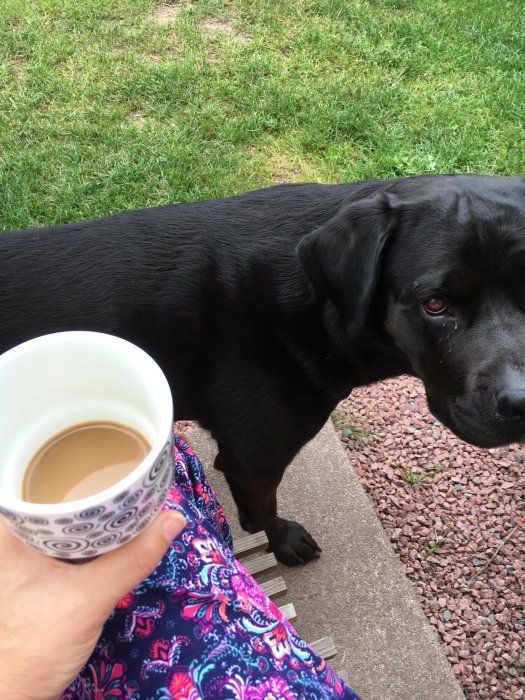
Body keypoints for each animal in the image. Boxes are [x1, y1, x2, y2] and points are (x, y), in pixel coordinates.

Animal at [3, 175, 524, 564]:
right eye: (435, 304)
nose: (521, 402)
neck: (315, 305)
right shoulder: (252, 461)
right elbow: (263, 511)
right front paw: (282, 542)